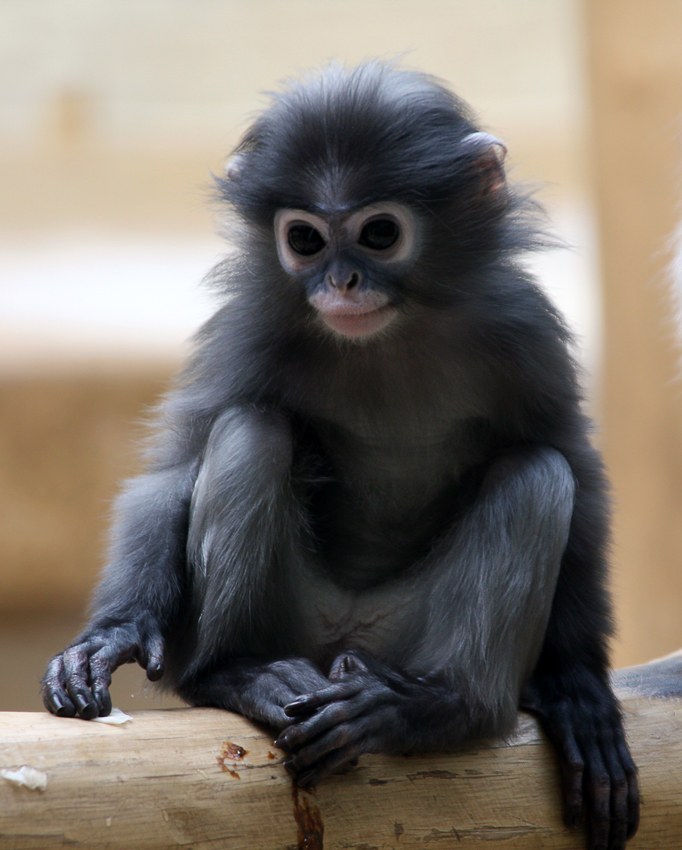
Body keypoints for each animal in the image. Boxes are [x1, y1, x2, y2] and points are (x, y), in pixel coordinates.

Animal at [42, 61, 636, 848]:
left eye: (379, 233)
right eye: (305, 239)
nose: (341, 282)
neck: (386, 337)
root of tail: (340, 640)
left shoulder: (523, 325)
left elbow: (576, 466)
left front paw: (575, 686)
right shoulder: (251, 325)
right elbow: (172, 471)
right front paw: (112, 635)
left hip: (398, 639)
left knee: (538, 472)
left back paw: (432, 706)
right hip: (295, 619)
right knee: (252, 429)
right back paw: (241, 673)